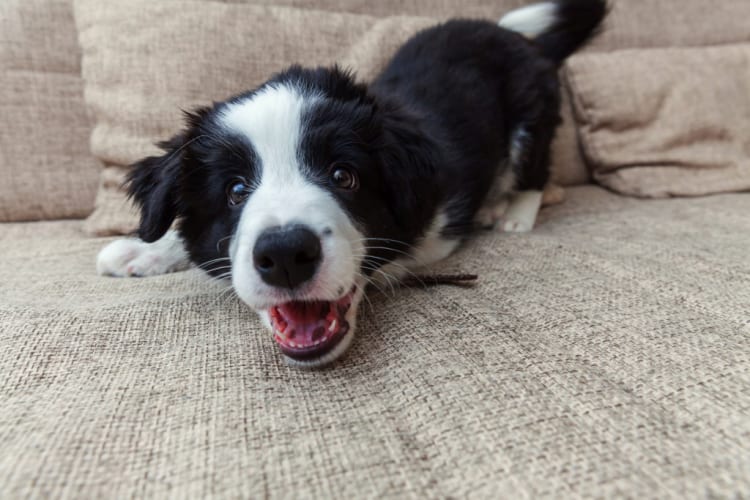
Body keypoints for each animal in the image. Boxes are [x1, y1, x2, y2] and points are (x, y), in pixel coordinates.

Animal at [97, 0, 608, 368]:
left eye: (344, 176)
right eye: (236, 191)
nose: (285, 255)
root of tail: (509, 33)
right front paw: (142, 249)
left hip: (530, 113)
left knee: (535, 167)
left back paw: (514, 212)